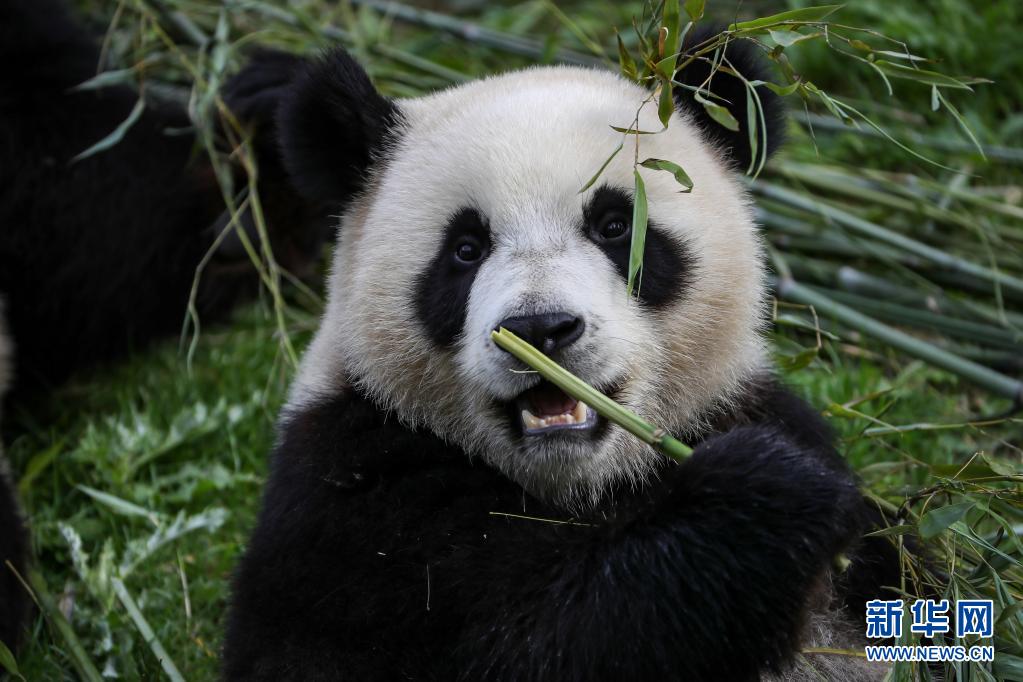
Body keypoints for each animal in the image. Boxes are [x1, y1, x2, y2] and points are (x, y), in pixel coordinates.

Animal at [224, 29, 896, 682]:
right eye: (465, 248)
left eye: (615, 225)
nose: (540, 329)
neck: (581, 484)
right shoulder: (350, 504)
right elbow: (549, 638)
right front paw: (763, 495)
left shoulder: (742, 408)